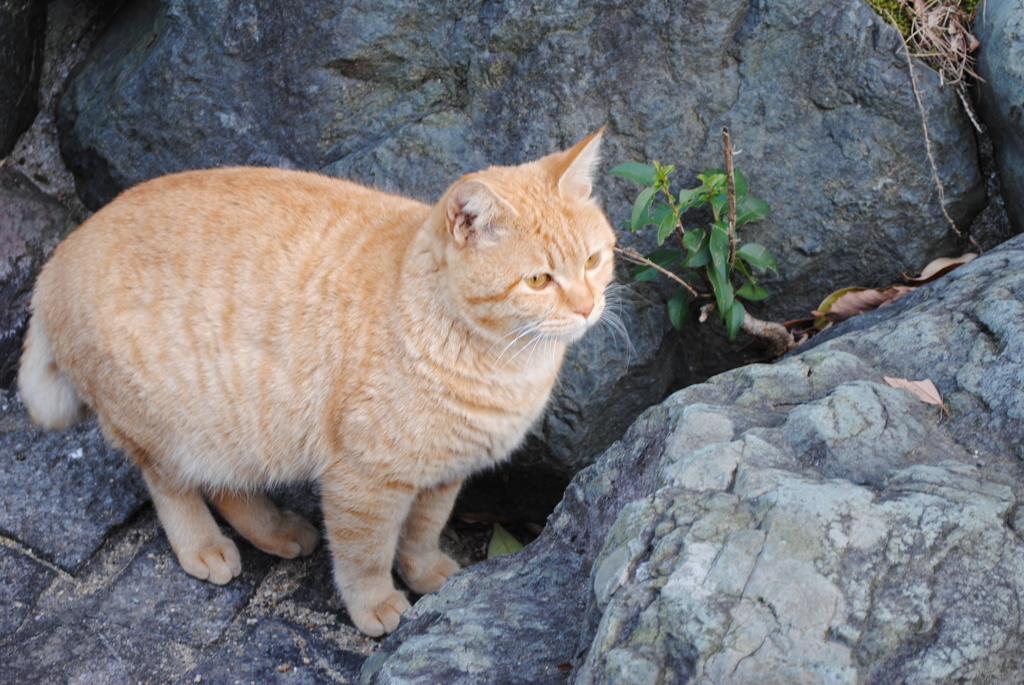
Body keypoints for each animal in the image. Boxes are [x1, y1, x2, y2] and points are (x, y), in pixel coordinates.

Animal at [18, 129, 614, 634]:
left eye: (593, 259)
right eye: (537, 280)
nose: (587, 307)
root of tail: (56, 260)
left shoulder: (443, 475)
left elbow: (423, 531)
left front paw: (426, 573)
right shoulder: (364, 481)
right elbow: (365, 554)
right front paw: (376, 604)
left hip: (238, 430)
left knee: (226, 484)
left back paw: (278, 530)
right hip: (168, 426)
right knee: (172, 484)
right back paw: (203, 546)